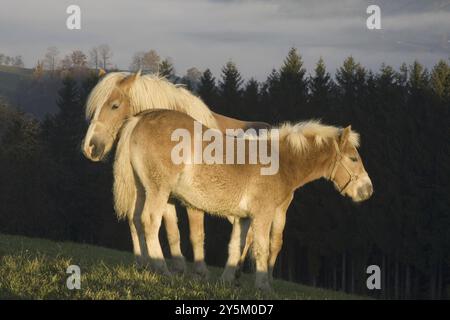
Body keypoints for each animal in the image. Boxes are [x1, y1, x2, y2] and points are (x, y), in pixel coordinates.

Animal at [81, 71, 268, 276]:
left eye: (114, 105)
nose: (89, 147)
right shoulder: (166, 195)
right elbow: (172, 232)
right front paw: (178, 267)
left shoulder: (192, 202)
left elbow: (196, 234)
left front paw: (200, 271)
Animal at [114, 109, 374, 292]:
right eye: (353, 158)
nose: (368, 190)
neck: (279, 161)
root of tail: (139, 119)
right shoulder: (263, 214)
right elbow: (261, 248)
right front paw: (263, 286)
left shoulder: (244, 218)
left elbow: (236, 247)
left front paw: (227, 280)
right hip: (158, 190)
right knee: (149, 222)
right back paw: (161, 269)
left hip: (141, 189)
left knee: (135, 221)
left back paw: (144, 265)